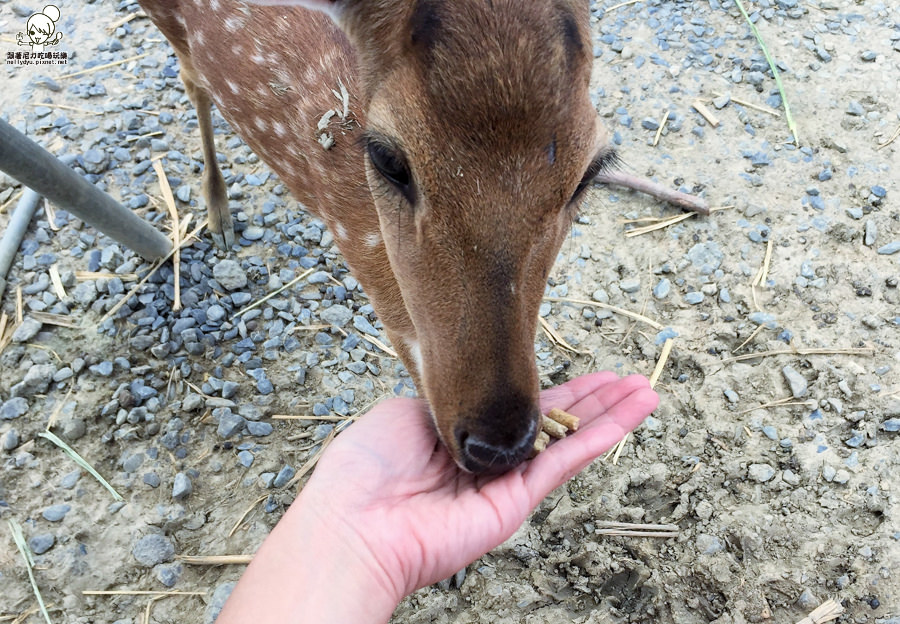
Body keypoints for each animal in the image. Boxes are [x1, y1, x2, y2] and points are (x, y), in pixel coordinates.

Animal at [137, 0, 708, 472]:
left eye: (591, 170)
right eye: (387, 158)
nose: (499, 445)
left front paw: (550, 422)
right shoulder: (364, 251)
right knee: (190, 75)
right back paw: (217, 213)